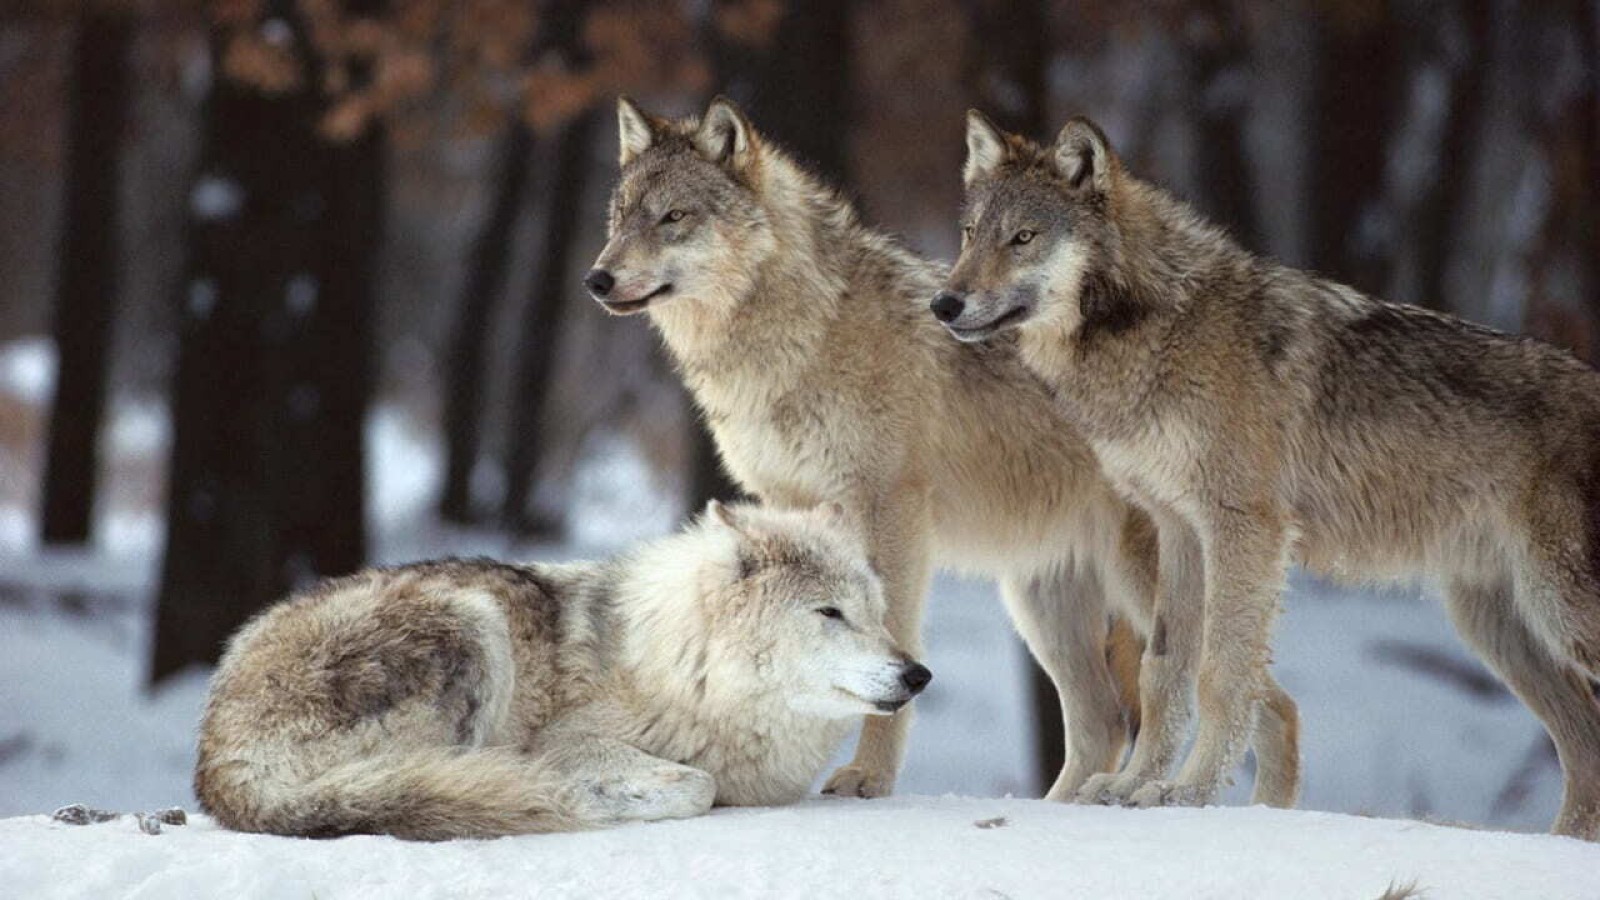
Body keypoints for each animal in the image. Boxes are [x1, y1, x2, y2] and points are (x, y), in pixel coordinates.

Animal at [196, 499, 934, 839]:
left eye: (877, 613)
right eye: (830, 613)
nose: (918, 676)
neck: (690, 670)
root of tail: (217, 757)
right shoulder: (574, 740)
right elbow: (696, 784)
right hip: (468, 621)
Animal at [934, 110, 1600, 832]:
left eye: (1023, 238)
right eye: (970, 234)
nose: (944, 303)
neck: (1159, 324)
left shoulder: (1242, 526)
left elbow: (1221, 673)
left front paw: (1185, 793)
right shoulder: (1178, 528)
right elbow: (1163, 671)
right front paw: (1134, 785)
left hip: (1557, 611)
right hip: (1498, 628)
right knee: (1585, 746)